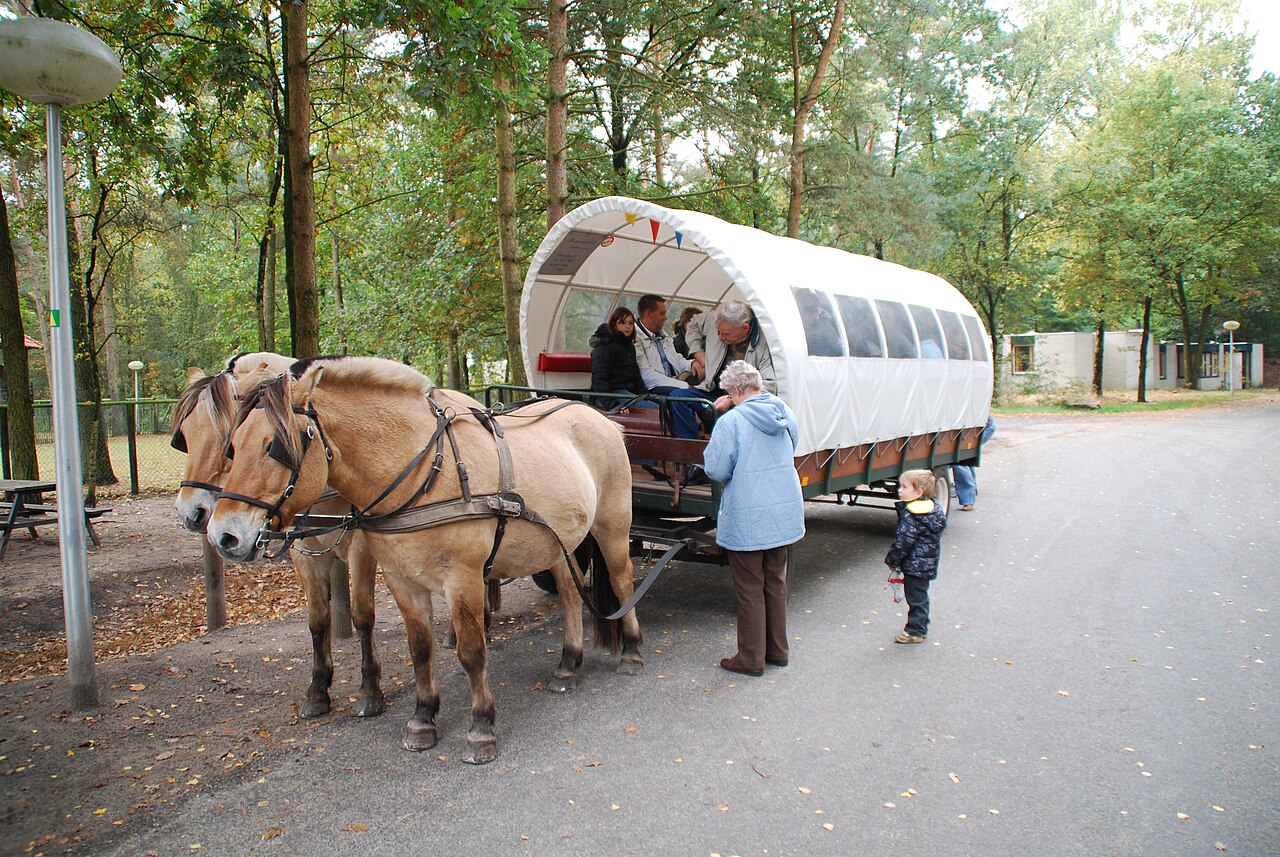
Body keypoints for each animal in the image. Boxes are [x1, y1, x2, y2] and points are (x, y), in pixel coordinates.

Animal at [205, 355, 643, 764]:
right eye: (232, 446)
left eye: (276, 447)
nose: (223, 535)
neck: (426, 472)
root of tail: (596, 415)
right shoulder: (401, 579)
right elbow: (420, 649)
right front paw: (422, 718)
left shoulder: (463, 578)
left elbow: (472, 652)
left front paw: (481, 728)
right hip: (558, 543)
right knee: (570, 593)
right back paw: (569, 663)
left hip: (611, 526)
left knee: (621, 581)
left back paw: (633, 651)